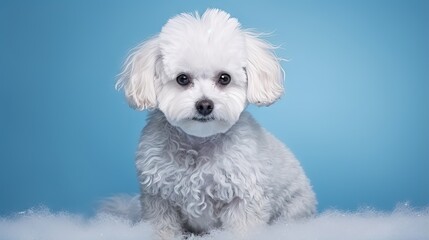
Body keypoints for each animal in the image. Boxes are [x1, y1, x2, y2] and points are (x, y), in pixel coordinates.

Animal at [115, 8, 316, 239]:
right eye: (182, 79)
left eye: (224, 78)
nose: (204, 105)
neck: (198, 142)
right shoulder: (158, 199)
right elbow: (163, 227)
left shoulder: (243, 201)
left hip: (294, 207)